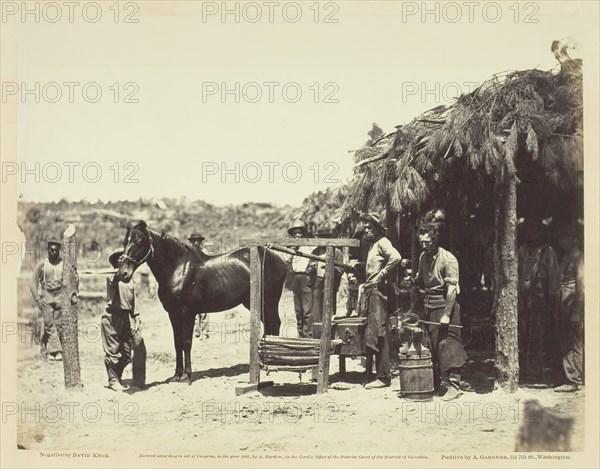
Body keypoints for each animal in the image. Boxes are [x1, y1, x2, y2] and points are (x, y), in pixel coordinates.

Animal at [115, 221, 290, 382]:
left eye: (139, 242)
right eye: (125, 242)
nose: (123, 274)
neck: (178, 269)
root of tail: (277, 258)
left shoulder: (187, 313)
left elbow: (186, 342)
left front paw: (187, 375)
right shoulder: (173, 314)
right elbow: (177, 343)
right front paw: (177, 375)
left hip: (269, 301)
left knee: (274, 324)